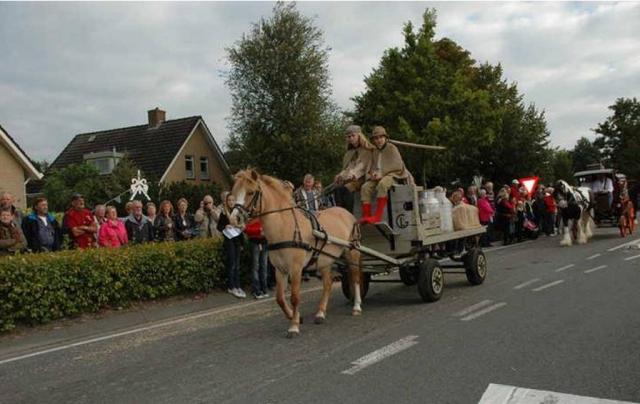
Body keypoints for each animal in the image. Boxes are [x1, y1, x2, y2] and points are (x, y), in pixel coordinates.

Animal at [231, 168, 364, 338]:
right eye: (234, 192)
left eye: (251, 192)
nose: (234, 218)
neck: (285, 226)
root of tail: (345, 212)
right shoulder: (280, 269)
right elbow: (280, 298)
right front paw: (296, 317)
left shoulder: (296, 268)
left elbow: (294, 297)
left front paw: (293, 326)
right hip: (324, 260)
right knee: (327, 284)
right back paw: (320, 313)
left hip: (352, 252)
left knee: (355, 278)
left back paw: (357, 306)